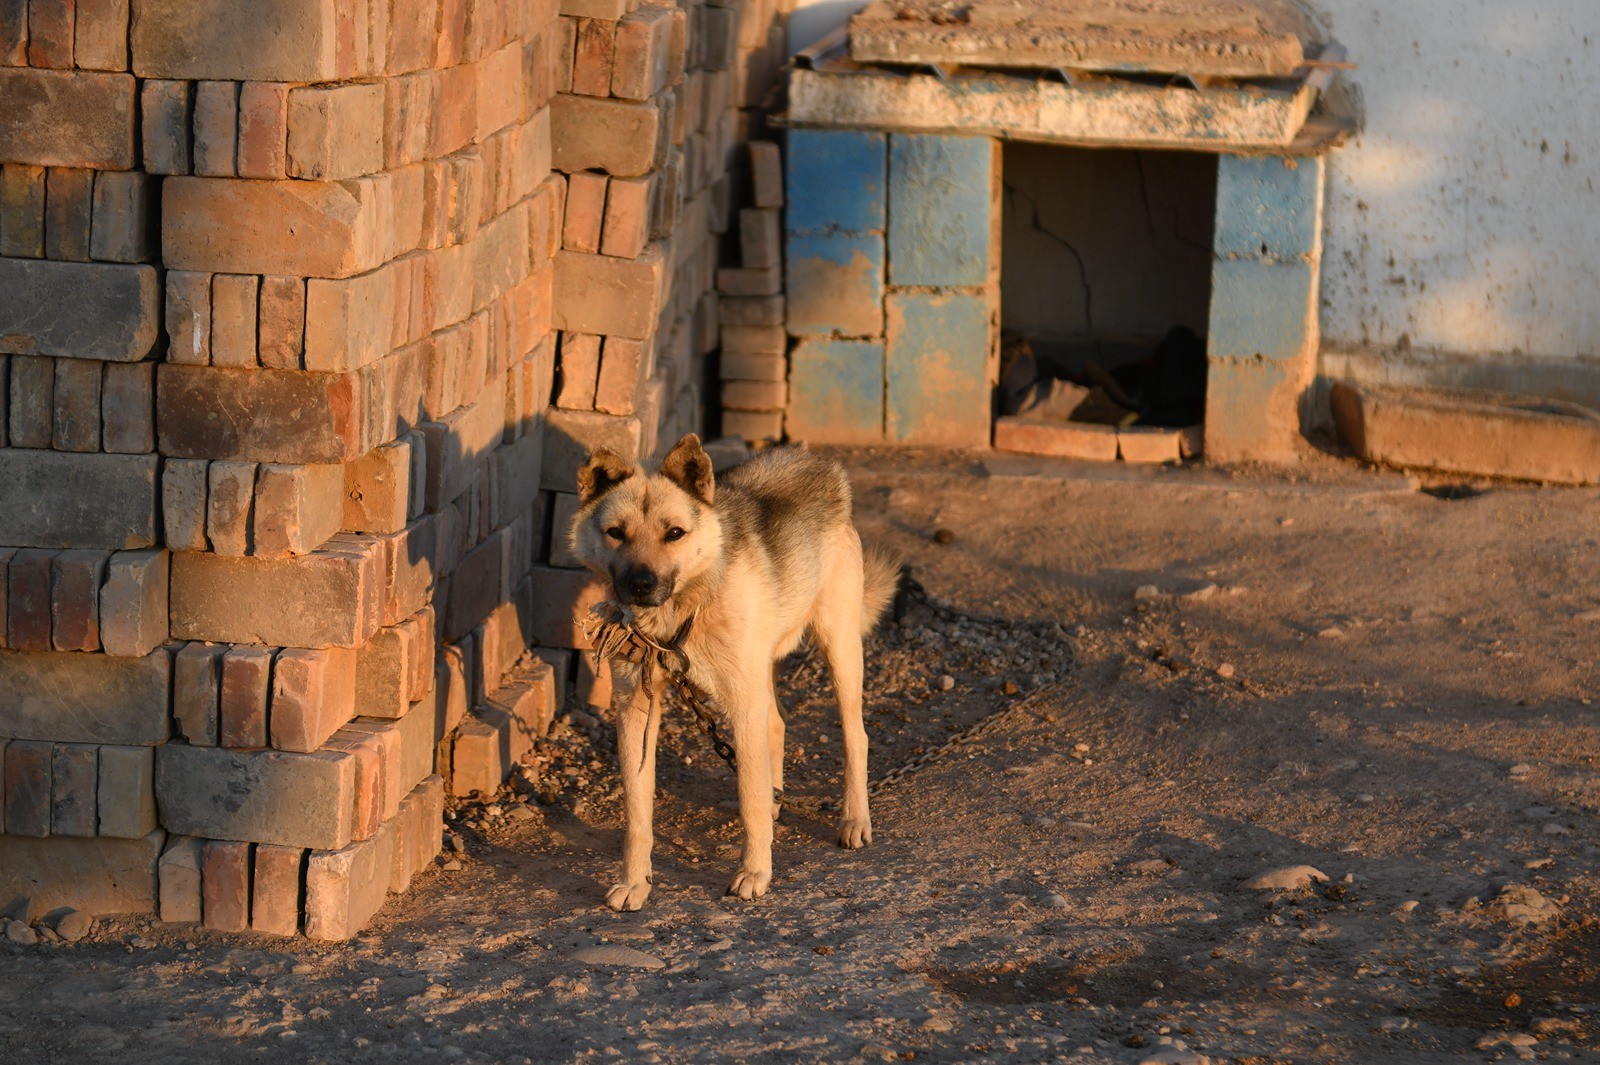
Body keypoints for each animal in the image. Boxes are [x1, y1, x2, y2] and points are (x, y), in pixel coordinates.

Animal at [572, 431, 902, 901]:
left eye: (674, 533)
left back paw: (854, 819)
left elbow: (748, 797)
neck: (681, 613)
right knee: (777, 727)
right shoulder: (635, 709)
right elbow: (637, 813)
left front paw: (754, 870)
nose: (640, 585)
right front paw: (634, 881)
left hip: (839, 650)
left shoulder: (742, 708)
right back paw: (777, 800)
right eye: (616, 533)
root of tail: (815, 462)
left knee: (856, 737)